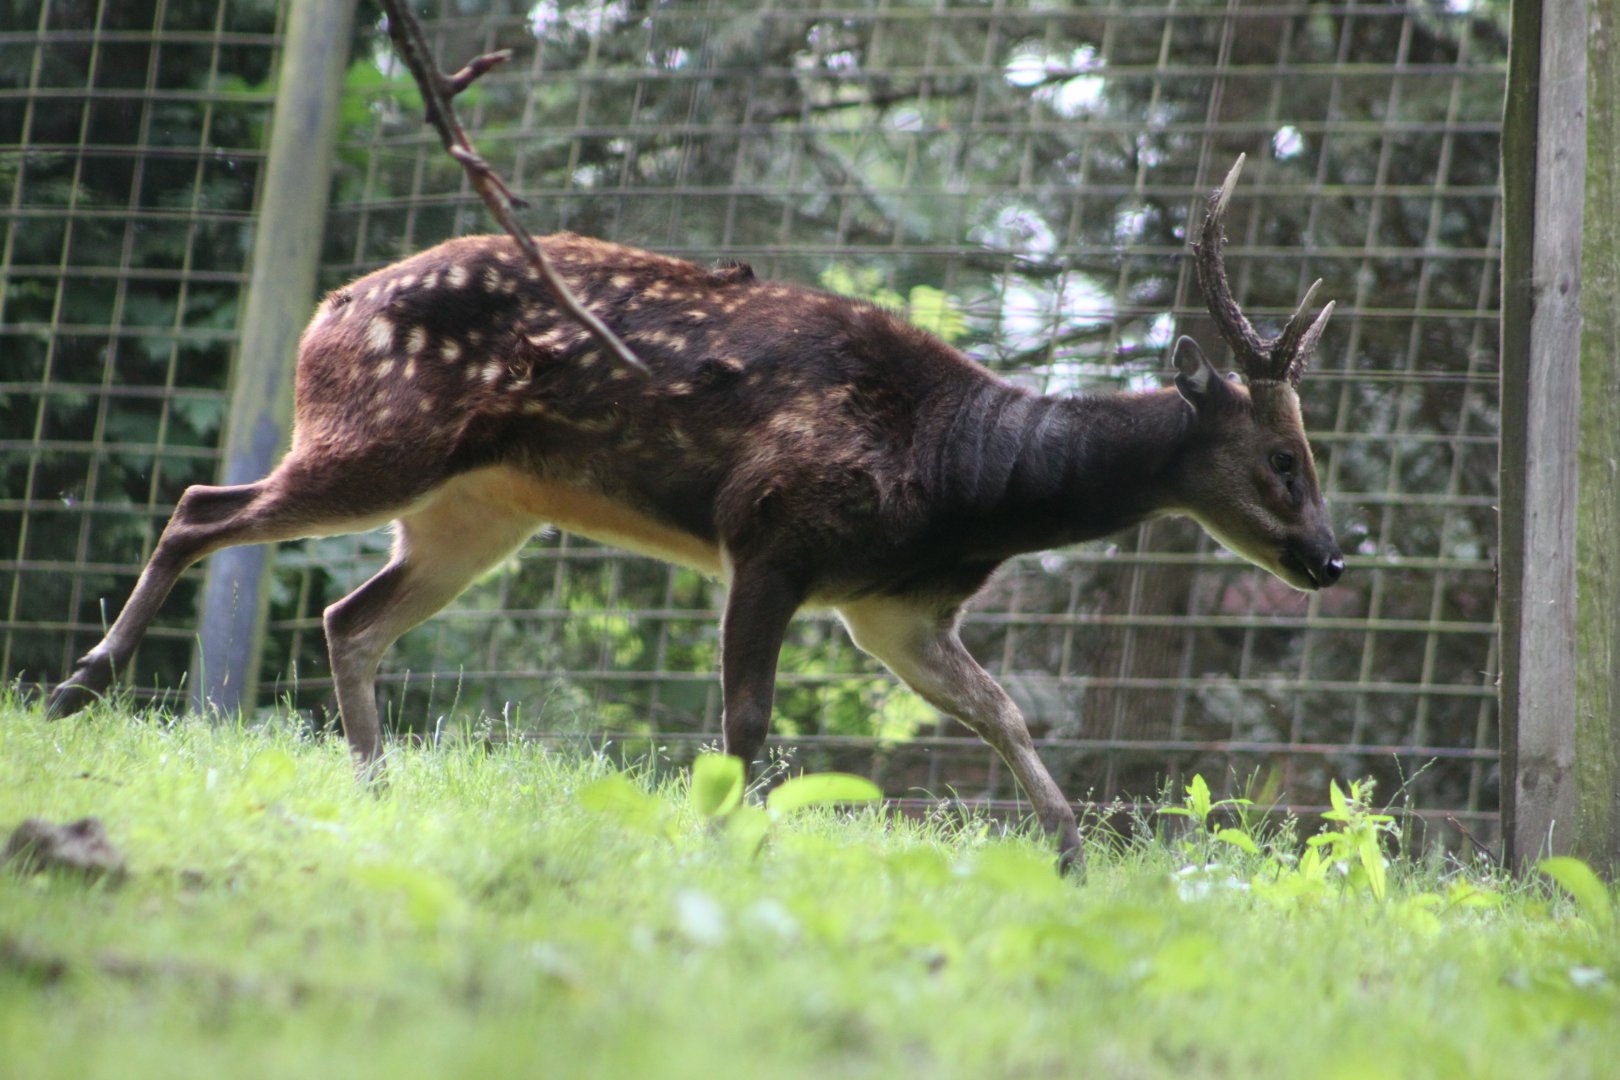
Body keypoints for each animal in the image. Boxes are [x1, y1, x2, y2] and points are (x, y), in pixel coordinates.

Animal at [47, 156, 1342, 870]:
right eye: (1283, 457)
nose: (1330, 559)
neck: (958, 480)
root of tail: (327, 307)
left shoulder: (894, 612)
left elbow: (1005, 716)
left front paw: (1075, 856)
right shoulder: (772, 532)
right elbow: (746, 723)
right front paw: (723, 842)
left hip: (476, 514)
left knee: (347, 616)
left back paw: (373, 786)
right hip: (379, 436)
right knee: (204, 506)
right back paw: (76, 686)